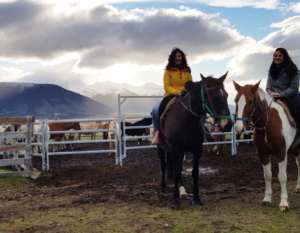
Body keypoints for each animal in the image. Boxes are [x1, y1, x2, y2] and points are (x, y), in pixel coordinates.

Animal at [234, 80, 300, 213]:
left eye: (250, 101)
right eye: (235, 100)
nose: (239, 128)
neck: (267, 123)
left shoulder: (281, 153)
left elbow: (282, 177)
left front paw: (284, 203)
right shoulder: (263, 153)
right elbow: (267, 175)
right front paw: (267, 199)